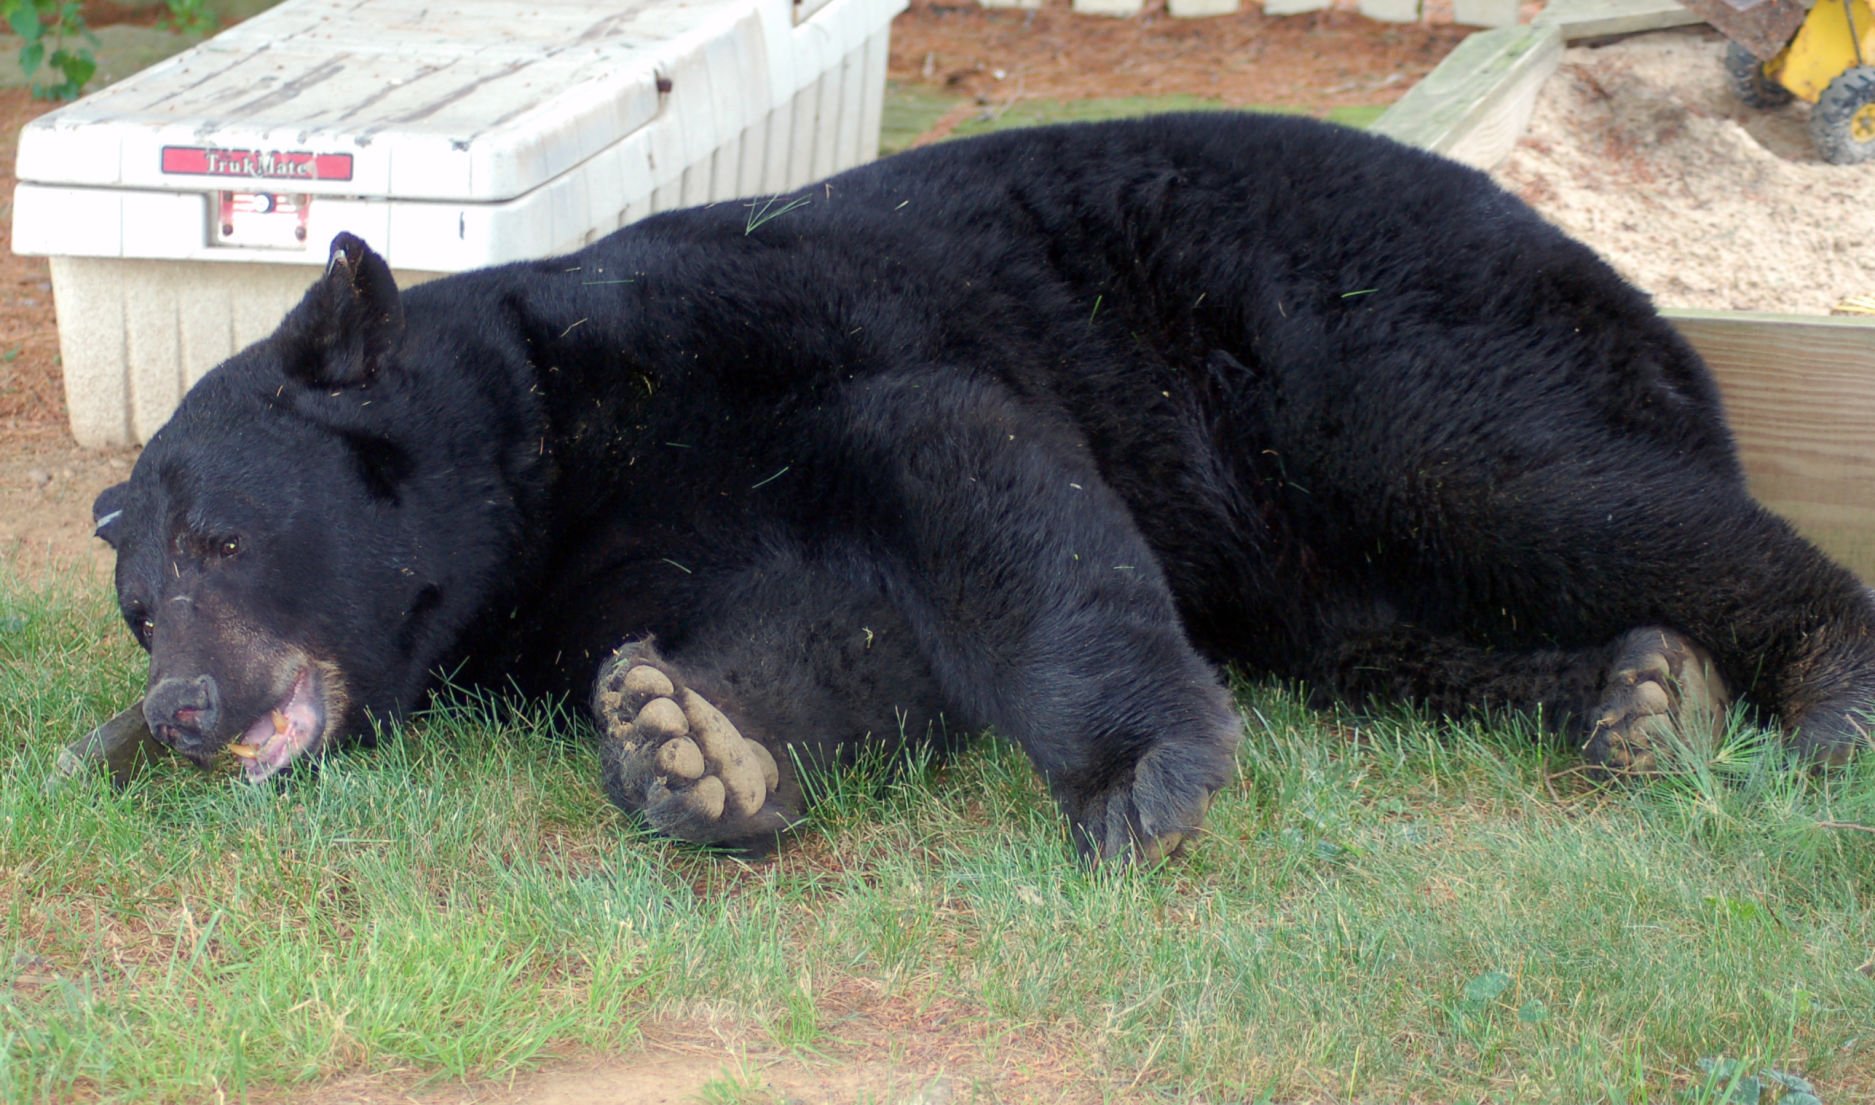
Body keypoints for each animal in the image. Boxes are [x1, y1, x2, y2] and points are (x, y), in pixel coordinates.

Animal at [88, 113, 1875, 862]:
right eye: (137, 603)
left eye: (227, 536)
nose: (179, 710)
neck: (545, 463)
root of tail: (1638, 300)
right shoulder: (622, 556)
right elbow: (828, 639)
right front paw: (693, 750)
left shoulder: (763, 336)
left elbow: (970, 467)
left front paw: (1140, 773)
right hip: (1316, 556)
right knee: (1384, 631)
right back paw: (1635, 696)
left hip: (1361, 349)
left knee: (1517, 482)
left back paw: (1821, 678)